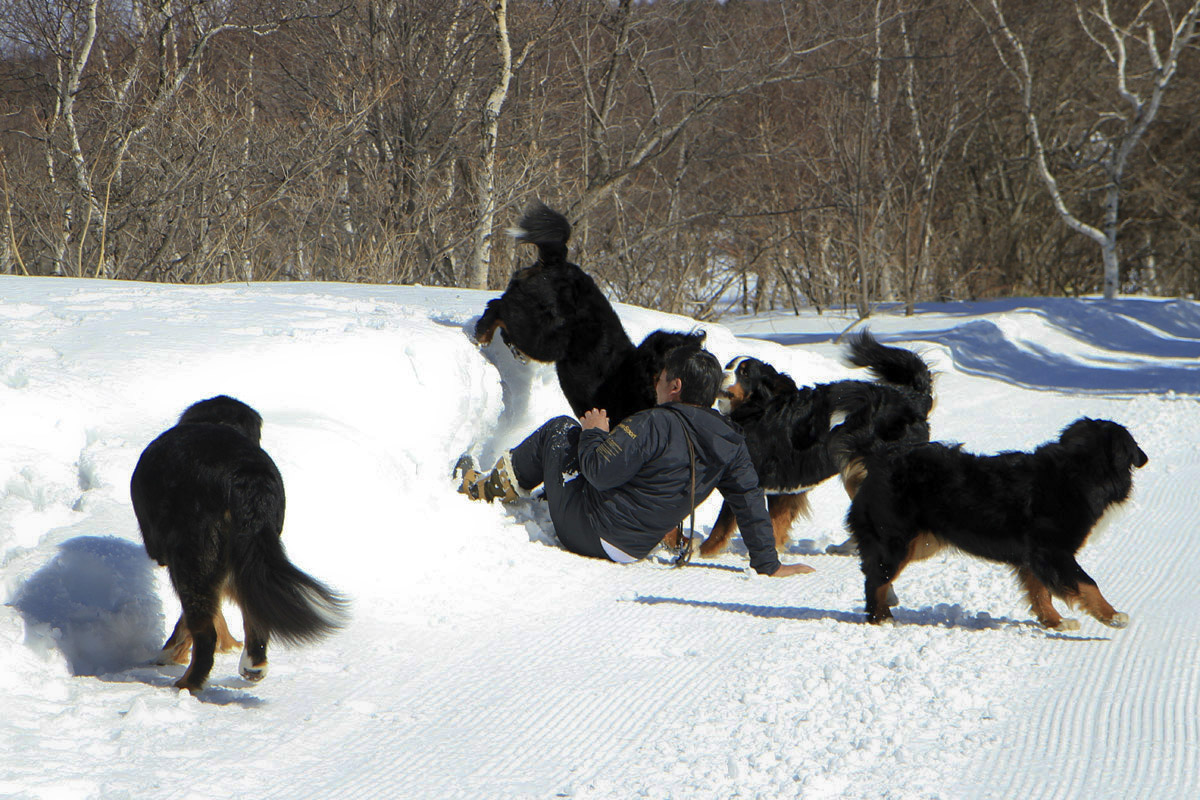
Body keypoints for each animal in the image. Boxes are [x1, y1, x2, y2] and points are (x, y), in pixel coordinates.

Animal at [132, 398, 348, 690]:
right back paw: (253, 665)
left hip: (194, 555)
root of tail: (241, 477)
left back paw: (186, 685)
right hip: (249, 551)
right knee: (253, 608)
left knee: (206, 633)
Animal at [700, 331, 931, 556]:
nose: (720, 373)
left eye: (745, 373)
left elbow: (721, 527)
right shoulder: (783, 486)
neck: (759, 411)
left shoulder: (750, 476)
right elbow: (776, 524)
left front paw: (700, 552)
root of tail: (912, 399)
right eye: (729, 366)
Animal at [840, 419, 1147, 633]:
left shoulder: (1032, 555)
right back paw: (881, 619)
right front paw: (1113, 616)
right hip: (897, 541)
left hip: (922, 542)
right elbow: (1087, 583)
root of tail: (879, 455)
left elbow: (1040, 592)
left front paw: (1054, 621)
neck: (1077, 472)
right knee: (875, 579)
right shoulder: (1053, 552)